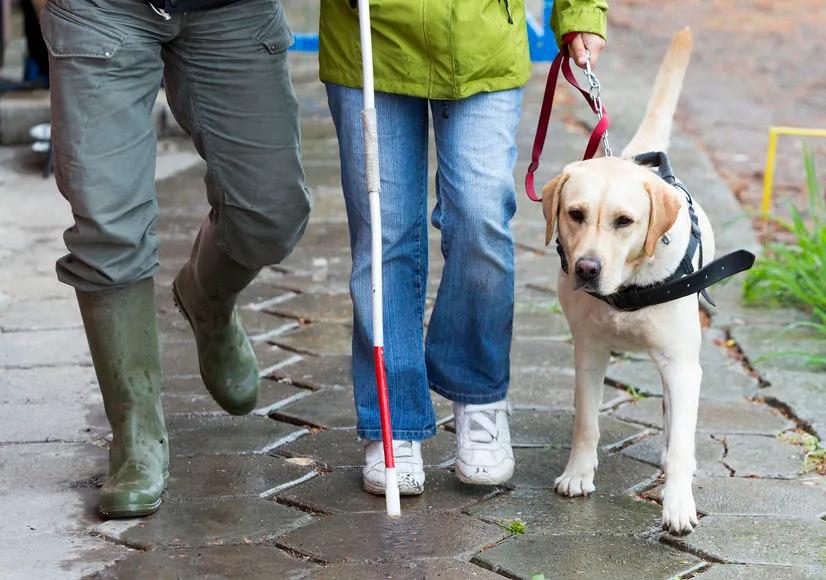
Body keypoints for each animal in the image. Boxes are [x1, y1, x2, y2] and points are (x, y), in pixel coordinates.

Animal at [540, 28, 708, 536]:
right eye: (575, 214)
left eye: (624, 221)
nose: (586, 269)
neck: (627, 288)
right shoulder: (588, 352)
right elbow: (585, 422)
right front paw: (578, 474)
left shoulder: (681, 364)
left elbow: (681, 442)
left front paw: (678, 503)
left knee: (675, 420)